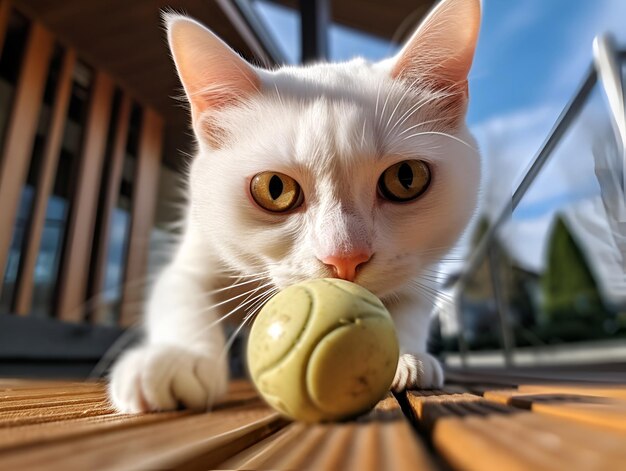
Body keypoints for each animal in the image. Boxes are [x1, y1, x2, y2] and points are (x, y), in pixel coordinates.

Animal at [108, 0, 478, 412]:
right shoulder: (196, 255)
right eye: (274, 188)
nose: (345, 258)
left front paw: (409, 356)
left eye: (406, 178)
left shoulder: (421, 268)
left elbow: (411, 304)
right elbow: (182, 298)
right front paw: (178, 358)